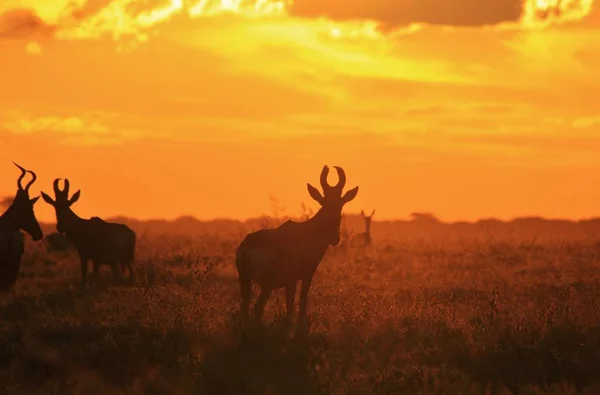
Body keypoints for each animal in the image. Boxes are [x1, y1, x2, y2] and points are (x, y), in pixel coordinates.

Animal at [233, 164, 356, 334]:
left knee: (245, 306)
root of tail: (247, 249)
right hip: (267, 284)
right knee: (258, 307)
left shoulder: (292, 280)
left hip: (245, 280)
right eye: (324, 202)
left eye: (341, 204)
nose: (335, 238)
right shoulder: (301, 277)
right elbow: (299, 300)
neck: (306, 231)